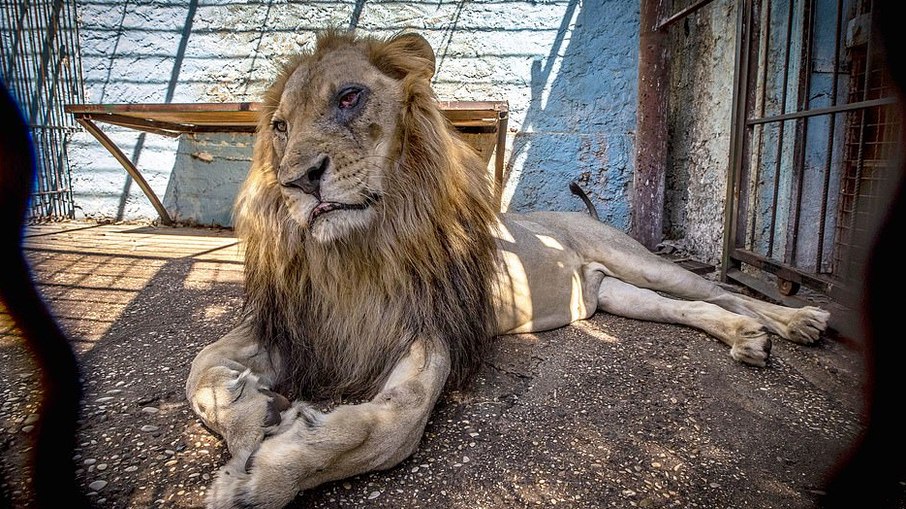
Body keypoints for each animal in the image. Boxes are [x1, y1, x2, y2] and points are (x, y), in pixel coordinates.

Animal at [184, 28, 828, 508]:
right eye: (279, 127)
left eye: (348, 98)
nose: (297, 182)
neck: (355, 252)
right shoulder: (298, 323)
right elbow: (201, 371)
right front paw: (253, 415)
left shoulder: (431, 329)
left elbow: (390, 428)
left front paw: (264, 475)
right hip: (618, 296)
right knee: (693, 308)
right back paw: (745, 337)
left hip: (640, 262)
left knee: (723, 290)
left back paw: (793, 322)